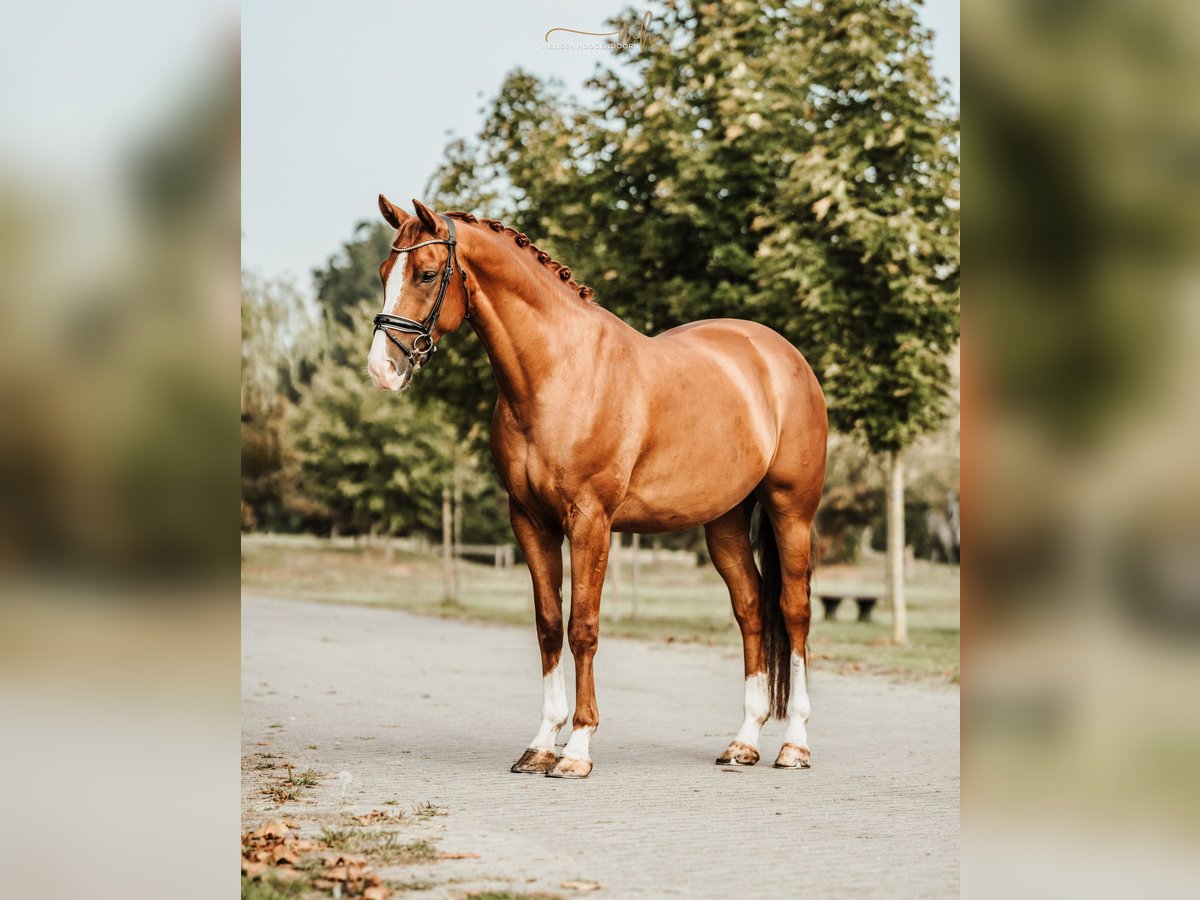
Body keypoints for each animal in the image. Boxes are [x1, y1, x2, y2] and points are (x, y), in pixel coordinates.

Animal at [369, 199, 825, 782]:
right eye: (385, 272)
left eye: (426, 274)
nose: (383, 368)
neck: (560, 372)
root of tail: (781, 355)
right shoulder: (529, 521)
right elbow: (547, 625)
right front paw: (541, 745)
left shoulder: (590, 520)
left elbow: (582, 626)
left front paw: (578, 749)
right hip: (724, 520)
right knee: (750, 609)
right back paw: (743, 741)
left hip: (792, 510)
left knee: (793, 611)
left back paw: (795, 745)